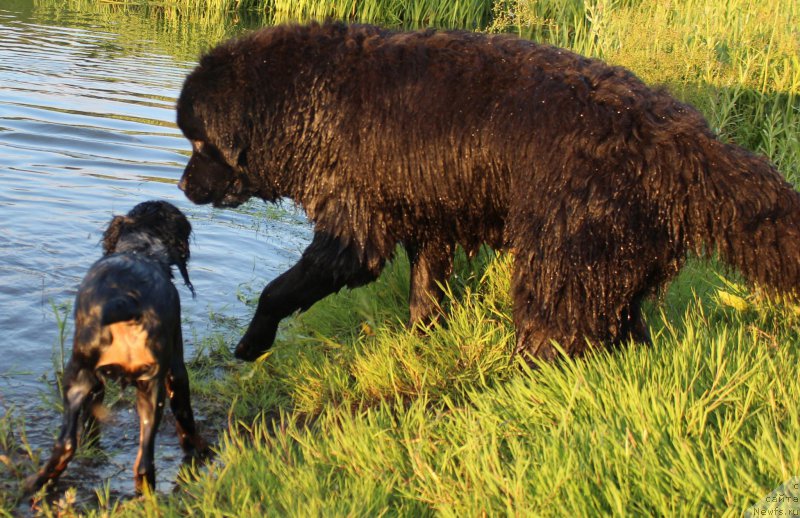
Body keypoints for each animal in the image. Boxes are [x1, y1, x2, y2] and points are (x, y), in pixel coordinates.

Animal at [26, 201, 209, 498]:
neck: (139, 249)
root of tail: (126, 298)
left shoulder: (96, 381)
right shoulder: (177, 368)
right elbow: (186, 418)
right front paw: (200, 449)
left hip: (79, 376)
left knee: (66, 443)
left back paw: (36, 485)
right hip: (152, 386)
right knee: (144, 462)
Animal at [178, 22, 800, 364]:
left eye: (200, 141)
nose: (182, 185)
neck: (308, 97)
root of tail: (681, 143)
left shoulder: (355, 227)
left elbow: (279, 289)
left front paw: (252, 342)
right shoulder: (427, 216)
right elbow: (426, 290)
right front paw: (420, 338)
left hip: (562, 256)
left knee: (554, 332)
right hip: (614, 262)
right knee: (618, 328)